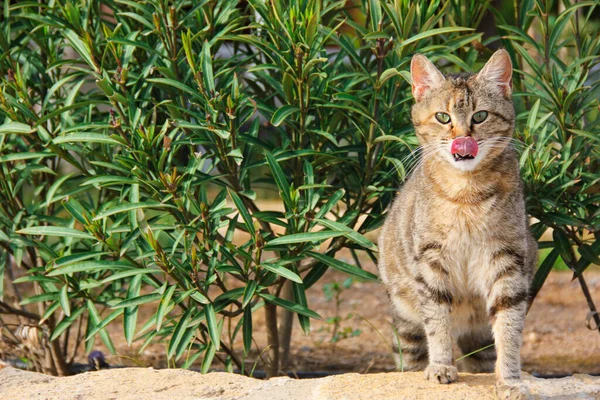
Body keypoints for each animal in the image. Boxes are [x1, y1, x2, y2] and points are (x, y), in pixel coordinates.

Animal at [378, 50, 536, 384]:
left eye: (480, 116)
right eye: (443, 117)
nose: (462, 138)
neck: (466, 193)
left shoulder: (507, 257)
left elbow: (509, 322)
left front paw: (509, 375)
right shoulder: (431, 260)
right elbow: (437, 321)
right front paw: (440, 365)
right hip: (405, 316)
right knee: (410, 352)